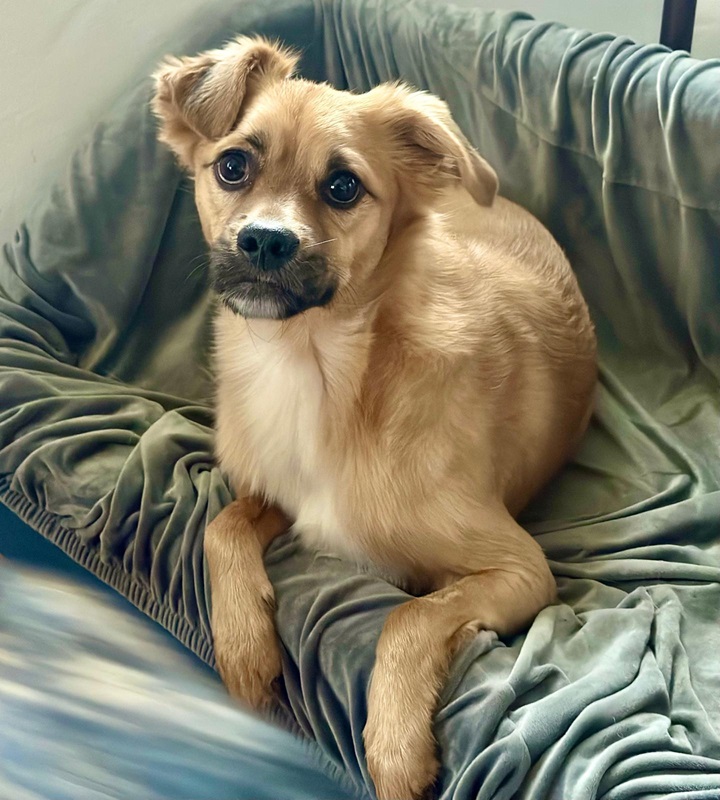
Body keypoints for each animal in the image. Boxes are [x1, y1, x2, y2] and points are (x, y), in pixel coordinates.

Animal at [152, 36, 597, 800]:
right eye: (234, 165)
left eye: (343, 187)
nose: (264, 242)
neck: (316, 367)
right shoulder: (275, 493)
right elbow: (222, 526)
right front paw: (244, 651)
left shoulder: (522, 569)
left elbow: (410, 617)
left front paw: (393, 751)